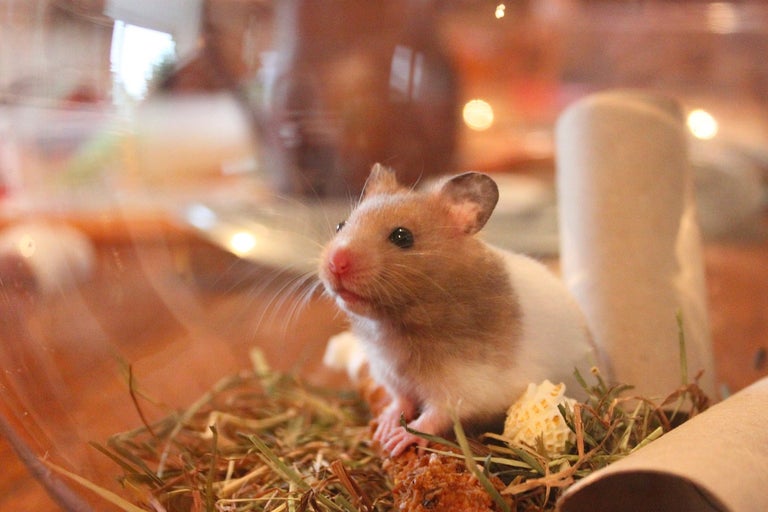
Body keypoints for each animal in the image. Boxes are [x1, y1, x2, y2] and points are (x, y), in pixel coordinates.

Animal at [318, 163, 599, 456]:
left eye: (402, 236)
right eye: (340, 225)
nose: (336, 262)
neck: (397, 323)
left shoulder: (464, 389)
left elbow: (435, 416)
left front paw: (397, 440)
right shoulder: (391, 376)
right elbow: (401, 401)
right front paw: (384, 426)